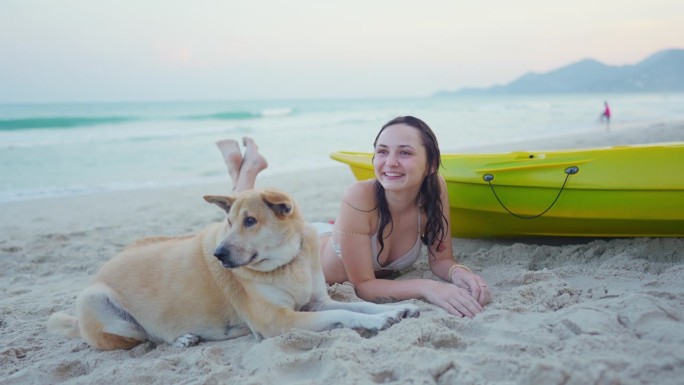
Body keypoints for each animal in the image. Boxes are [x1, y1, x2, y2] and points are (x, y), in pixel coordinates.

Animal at [46, 188, 416, 350]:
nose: (218, 254)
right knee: (145, 338)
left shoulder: (317, 302)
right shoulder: (279, 321)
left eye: (250, 221)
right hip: (101, 307)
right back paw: (181, 339)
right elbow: (346, 315)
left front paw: (399, 308)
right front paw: (380, 320)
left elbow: (358, 304)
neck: (287, 262)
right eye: (228, 222)